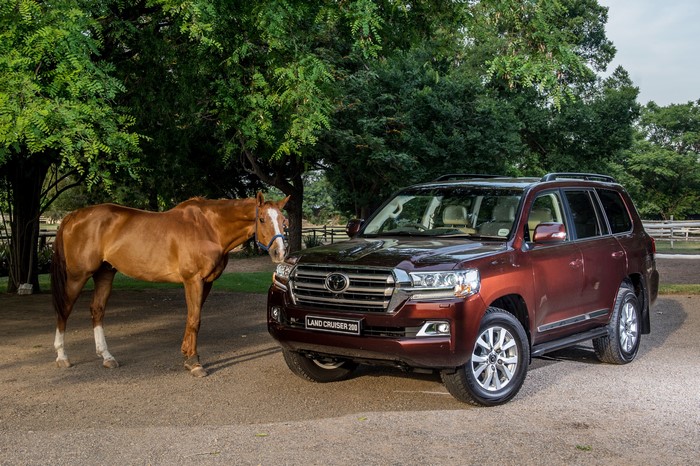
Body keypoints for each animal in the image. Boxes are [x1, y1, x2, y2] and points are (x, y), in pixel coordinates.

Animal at [51, 191, 289, 377]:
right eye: (262, 220)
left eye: (283, 221)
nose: (280, 252)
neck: (209, 228)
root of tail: (73, 216)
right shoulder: (193, 280)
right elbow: (195, 320)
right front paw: (194, 363)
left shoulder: (206, 283)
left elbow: (192, 317)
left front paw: (187, 354)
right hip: (77, 275)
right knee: (64, 310)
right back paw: (62, 356)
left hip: (104, 273)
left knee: (97, 310)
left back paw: (107, 356)